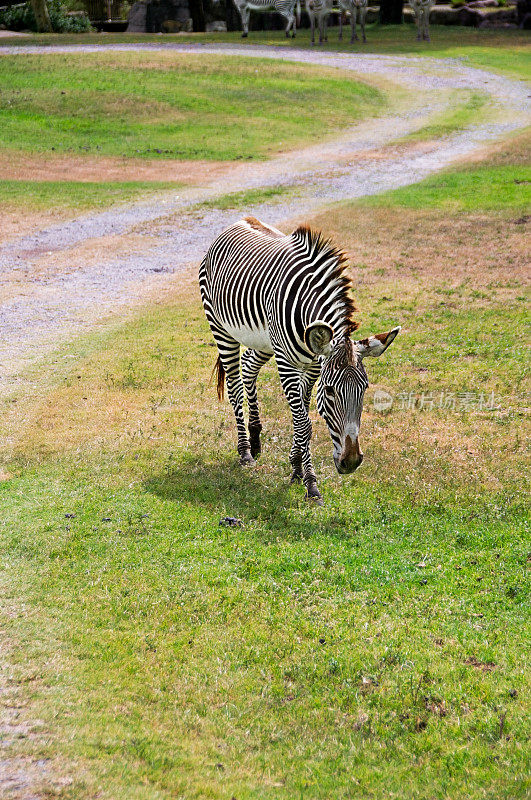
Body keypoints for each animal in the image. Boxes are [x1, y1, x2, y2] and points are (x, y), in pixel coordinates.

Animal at [202, 216, 402, 504]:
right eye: (330, 391)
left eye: (364, 389)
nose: (352, 462)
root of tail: (240, 221)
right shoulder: (287, 363)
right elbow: (303, 423)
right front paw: (311, 483)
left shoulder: (314, 366)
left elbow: (302, 418)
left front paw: (296, 468)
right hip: (222, 329)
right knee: (234, 386)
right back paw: (245, 451)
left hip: (264, 341)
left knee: (249, 368)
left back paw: (255, 439)